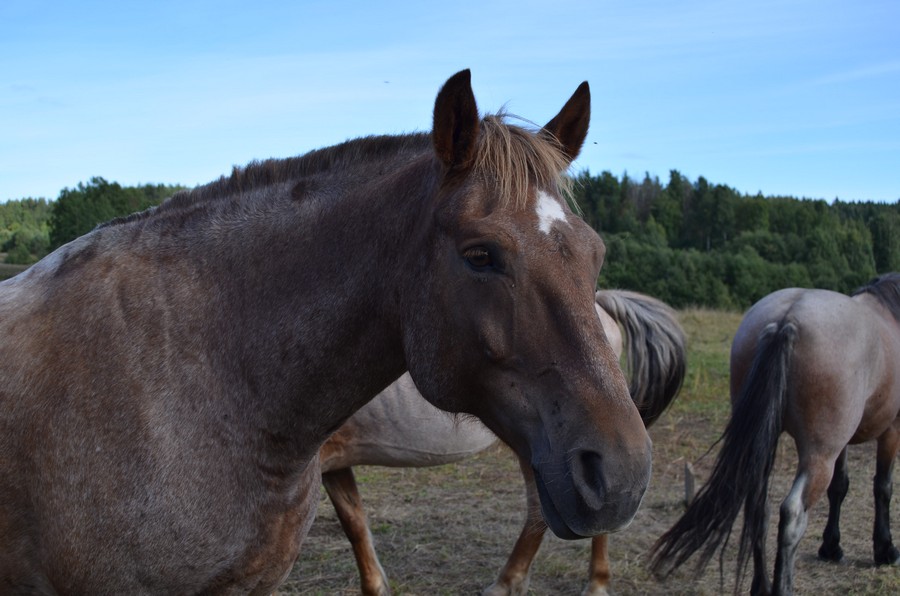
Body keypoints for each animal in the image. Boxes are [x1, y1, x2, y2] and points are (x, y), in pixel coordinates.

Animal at [652, 274, 900, 596]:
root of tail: (785, 321)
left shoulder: (844, 443)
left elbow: (840, 487)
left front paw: (831, 547)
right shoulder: (891, 430)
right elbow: (882, 487)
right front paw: (885, 550)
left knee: (759, 507)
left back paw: (761, 584)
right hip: (818, 456)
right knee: (792, 514)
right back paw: (782, 586)